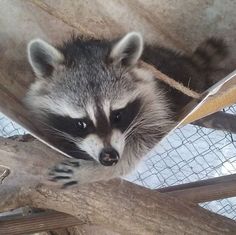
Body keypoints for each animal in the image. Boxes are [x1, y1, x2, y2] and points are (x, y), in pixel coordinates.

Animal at [24, 31, 229, 187]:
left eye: (117, 115)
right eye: (81, 123)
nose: (109, 158)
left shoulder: (155, 100)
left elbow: (142, 143)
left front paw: (95, 171)